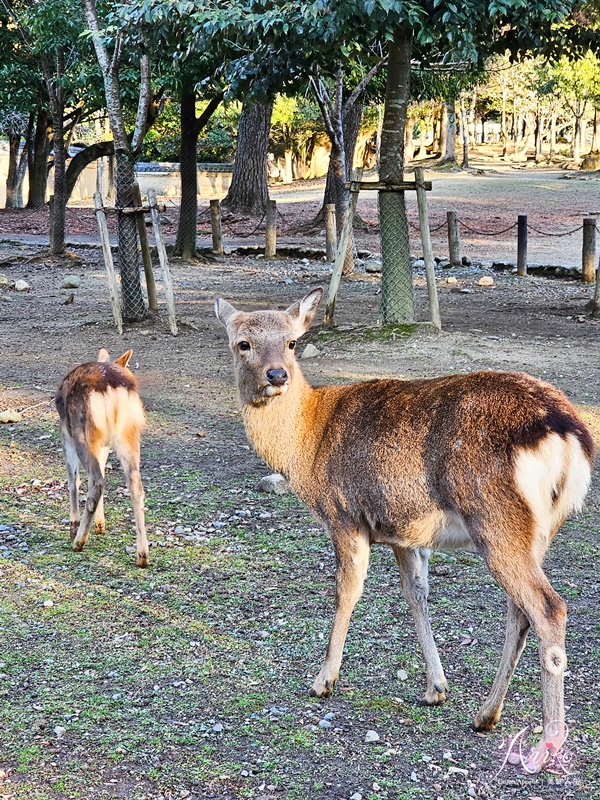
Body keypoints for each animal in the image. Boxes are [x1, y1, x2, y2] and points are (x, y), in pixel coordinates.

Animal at [55, 346, 149, 564]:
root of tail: (112, 388)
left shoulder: (65, 431)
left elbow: (73, 480)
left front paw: (73, 526)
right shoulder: (103, 444)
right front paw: (100, 525)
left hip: (82, 432)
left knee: (97, 481)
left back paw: (79, 541)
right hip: (129, 434)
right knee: (135, 485)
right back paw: (142, 555)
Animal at [216, 288, 596, 768]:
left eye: (291, 341)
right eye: (243, 344)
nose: (277, 374)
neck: (307, 447)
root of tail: (568, 432)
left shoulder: (344, 515)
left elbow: (347, 591)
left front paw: (323, 681)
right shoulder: (403, 531)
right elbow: (416, 595)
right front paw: (436, 688)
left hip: (496, 520)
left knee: (548, 607)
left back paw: (546, 743)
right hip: (538, 532)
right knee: (520, 611)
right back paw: (485, 715)